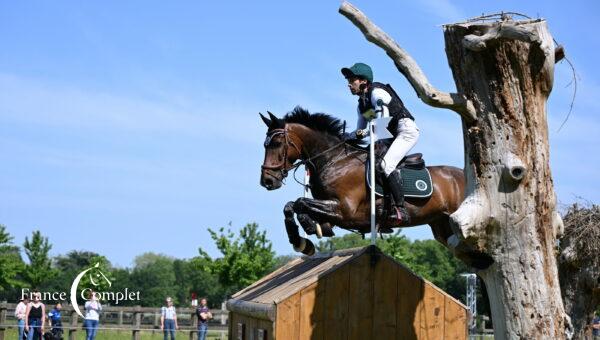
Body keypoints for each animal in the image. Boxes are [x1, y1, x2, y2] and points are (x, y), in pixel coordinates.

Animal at [260, 107, 486, 266]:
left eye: (277, 143)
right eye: (265, 145)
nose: (267, 181)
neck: (335, 160)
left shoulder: (344, 210)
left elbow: (300, 203)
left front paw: (304, 233)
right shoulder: (331, 210)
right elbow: (291, 206)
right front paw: (304, 239)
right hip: (443, 228)